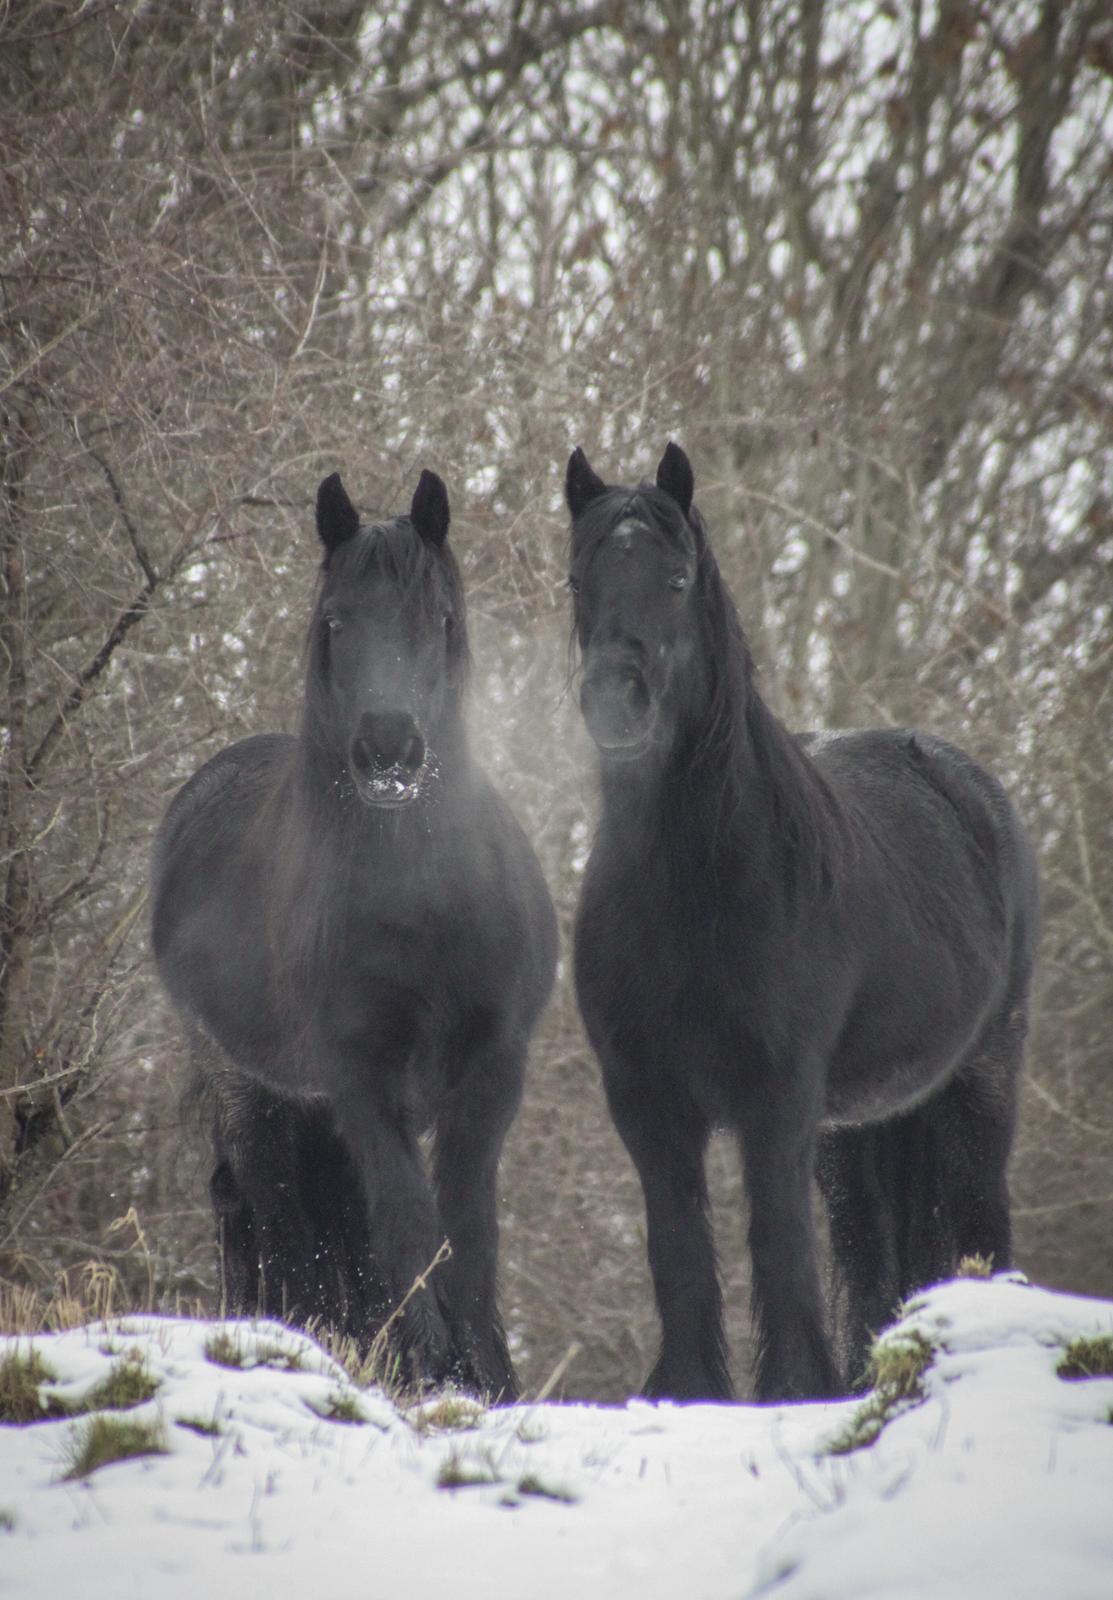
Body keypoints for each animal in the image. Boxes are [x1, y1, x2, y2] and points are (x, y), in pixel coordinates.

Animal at [152, 468, 557, 1397]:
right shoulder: (364, 1078)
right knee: (280, 1217)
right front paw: (438, 1371)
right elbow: (407, 1224)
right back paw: (303, 1335)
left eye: (437, 619)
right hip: (253, 1092)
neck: (423, 905)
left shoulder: (492, 1071)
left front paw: (486, 1375)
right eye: (334, 621)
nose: (388, 751)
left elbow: (467, 1227)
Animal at [565, 442, 1039, 1402]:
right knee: (869, 1251)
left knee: (979, 1223)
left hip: (981, 1083)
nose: (613, 701)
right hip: (854, 1132)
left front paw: (791, 1388)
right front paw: (688, 1390)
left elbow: (777, 1249)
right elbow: (679, 1250)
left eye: (676, 578)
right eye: (576, 579)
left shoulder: (775, 1098)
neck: (695, 887)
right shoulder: (646, 1098)